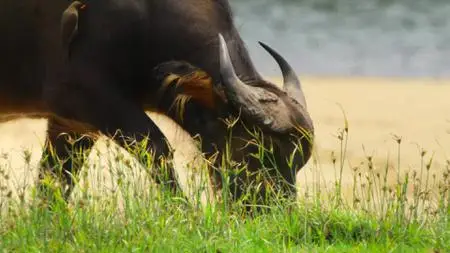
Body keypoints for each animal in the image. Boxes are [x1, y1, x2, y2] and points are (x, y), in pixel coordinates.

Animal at [0, 0, 314, 205]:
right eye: (257, 151)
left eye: (298, 164)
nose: (275, 211)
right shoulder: (83, 94)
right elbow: (157, 147)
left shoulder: (73, 124)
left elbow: (55, 179)